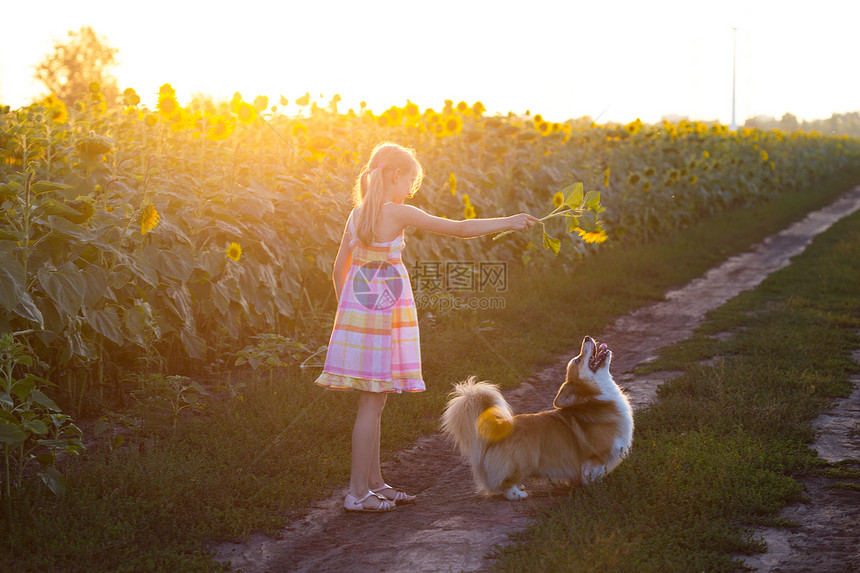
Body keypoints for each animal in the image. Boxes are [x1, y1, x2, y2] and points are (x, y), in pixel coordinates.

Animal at [444, 332, 632, 498]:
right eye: (578, 360)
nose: (586, 337)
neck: (598, 398)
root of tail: (500, 425)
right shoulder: (595, 457)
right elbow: (591, 475)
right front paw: (597, 489)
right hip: (523, 460)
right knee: (506, 483)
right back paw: (518, 494)